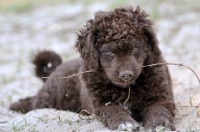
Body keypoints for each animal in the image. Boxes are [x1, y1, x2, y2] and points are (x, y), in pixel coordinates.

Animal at [9, 6, 175, 131]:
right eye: (108, 52)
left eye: (135, 48)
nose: (126, 75)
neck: (125, 89)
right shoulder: (100, 103)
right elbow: (113, 110)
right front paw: (125, 123)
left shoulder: (161, 96)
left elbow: (159, 109)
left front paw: (159, 125)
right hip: (52, 98)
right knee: (34, 101)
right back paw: (16, 106)